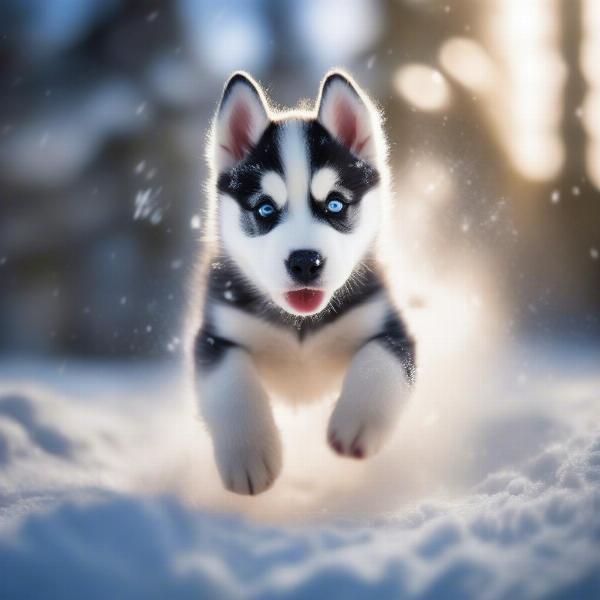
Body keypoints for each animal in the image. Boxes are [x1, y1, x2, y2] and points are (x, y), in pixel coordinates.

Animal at [195, 70, 414, 494]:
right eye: (265, 208)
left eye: (335, 204)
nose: (305, 262)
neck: (301, 327)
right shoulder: (215, 337)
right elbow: (231, 384)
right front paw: (248, 454)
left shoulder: (389, 325)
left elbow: (381, 360)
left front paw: (357, 421)